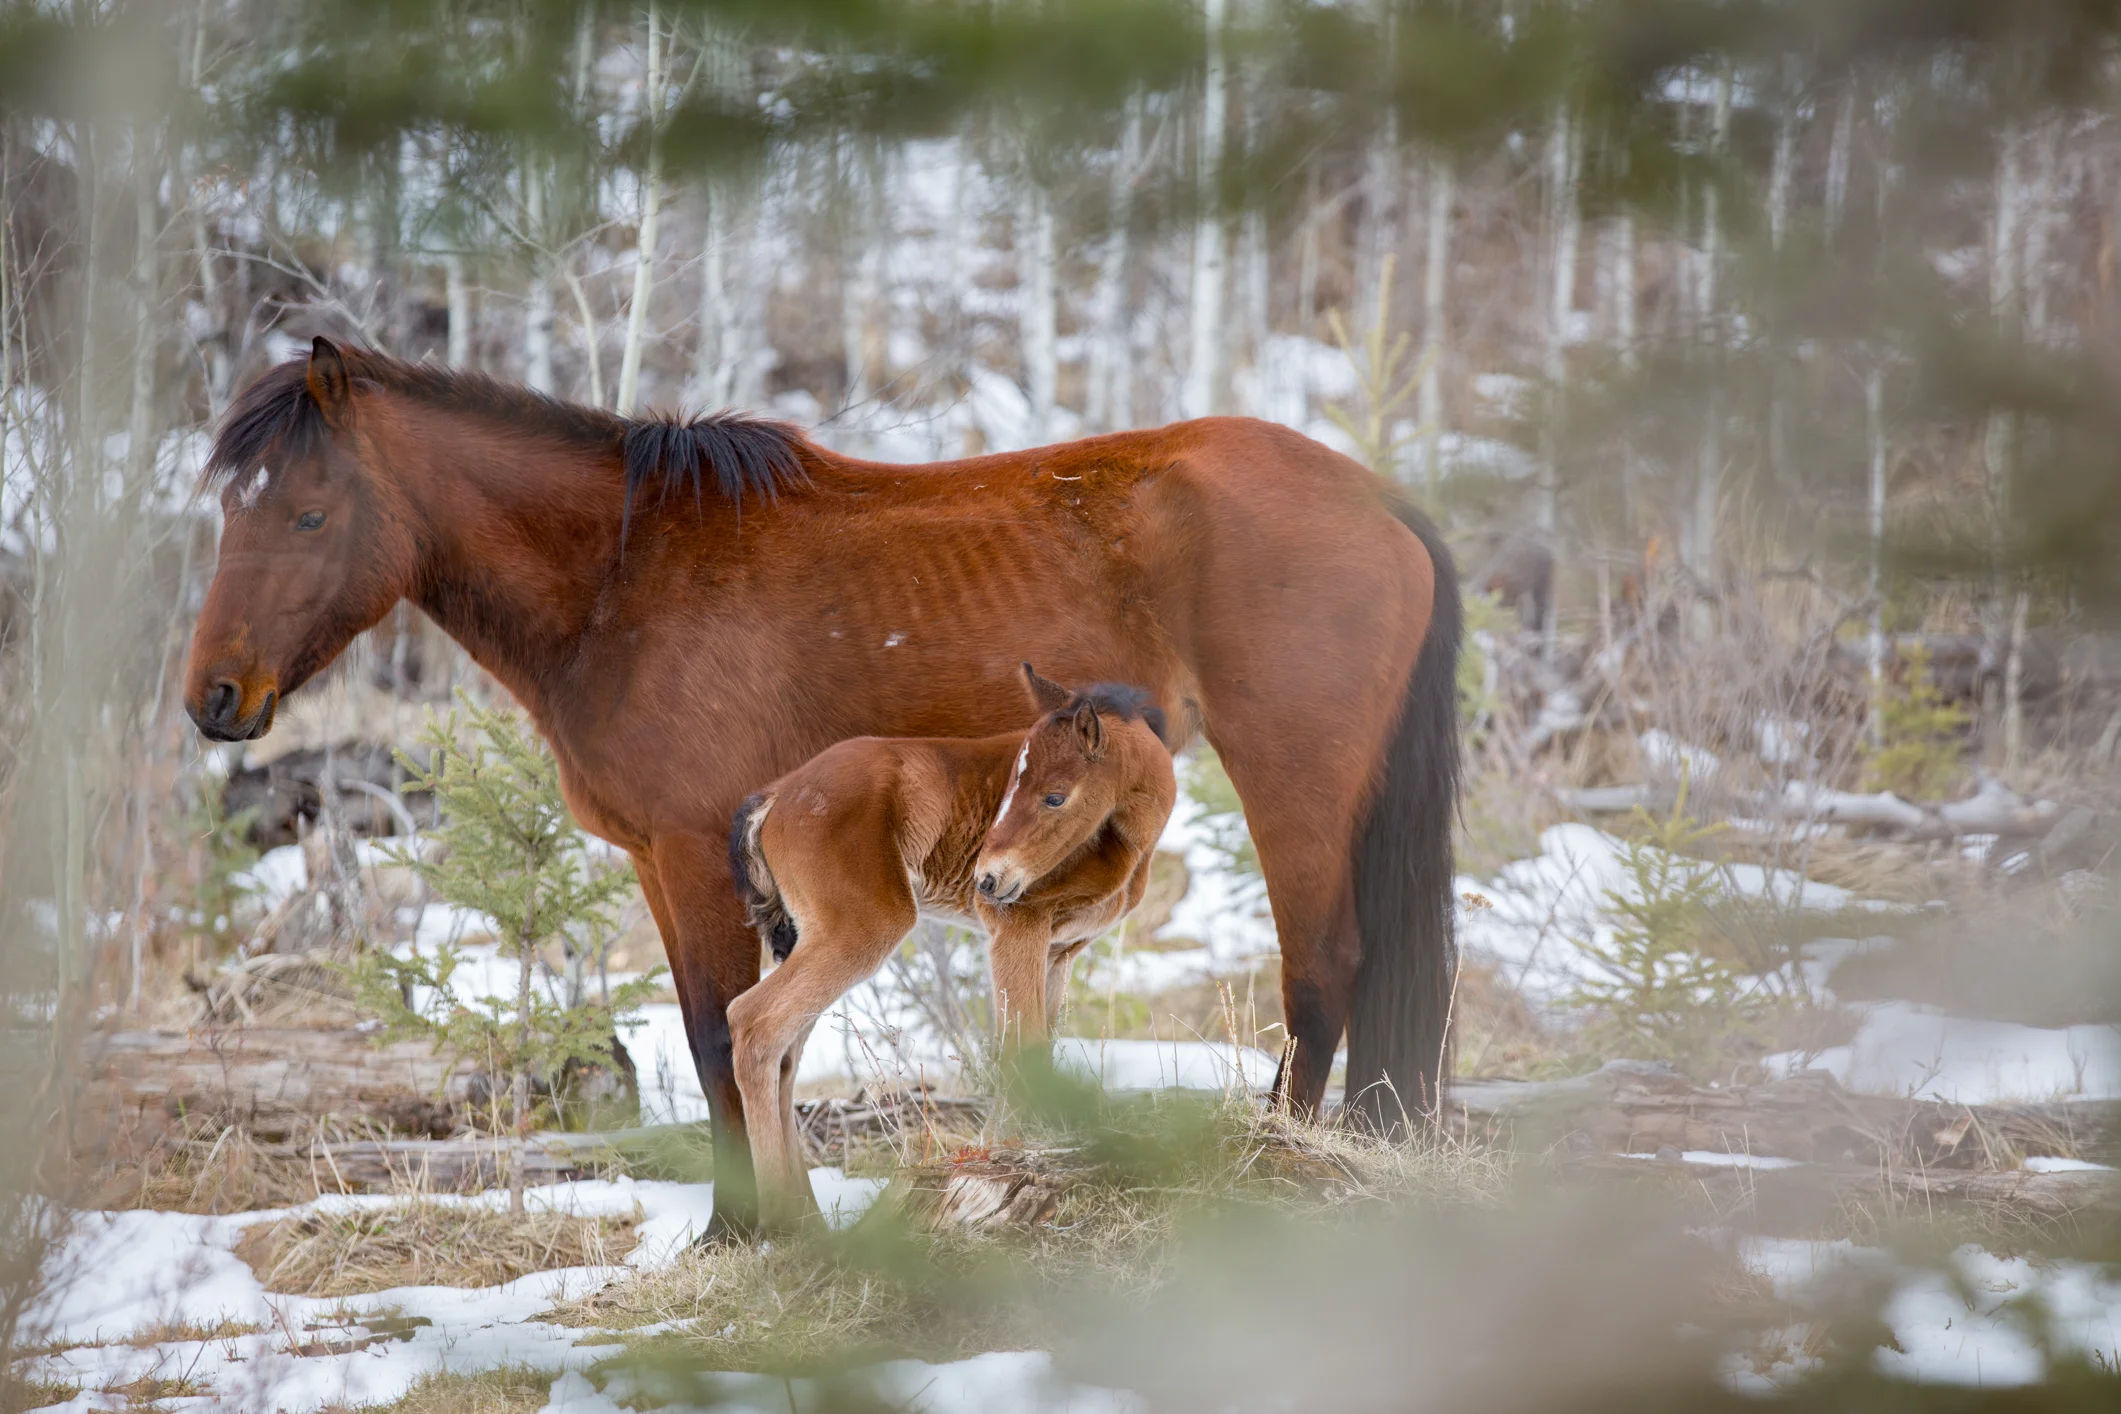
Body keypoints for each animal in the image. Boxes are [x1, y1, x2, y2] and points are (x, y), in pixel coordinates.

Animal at [725, 664, 1177, 1226]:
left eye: (1055, 796)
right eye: (1011, 785)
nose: (986, 880)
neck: (1125, 844)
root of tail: (778, 794)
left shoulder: (1059, 952)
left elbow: (1036, 1044)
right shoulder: (1015, 929)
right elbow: (1020, 1045)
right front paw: (1012, 1153)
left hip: (814, 937)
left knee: (787, 1052)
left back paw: (809, 1217)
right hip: (861, 929)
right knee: (754, 1023)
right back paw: (782, 1224)